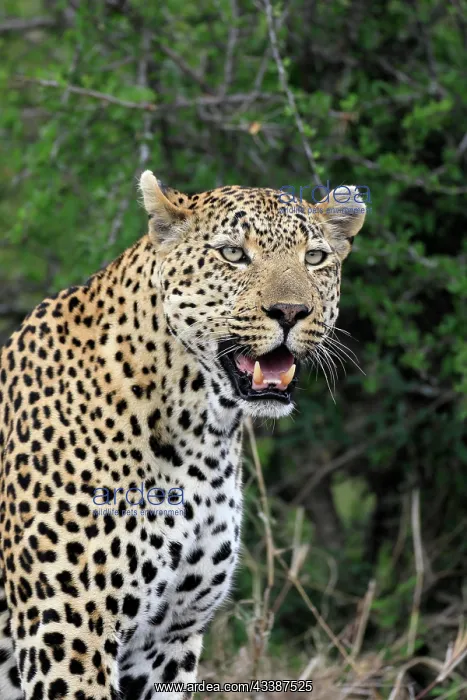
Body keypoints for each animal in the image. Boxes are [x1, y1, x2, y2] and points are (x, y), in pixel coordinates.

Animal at [0, 170, 365, 700]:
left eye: (315, 258)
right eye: (233, 254)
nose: (290, 311)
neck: (202, 434)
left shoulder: (170, 639)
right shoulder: (67, 630)